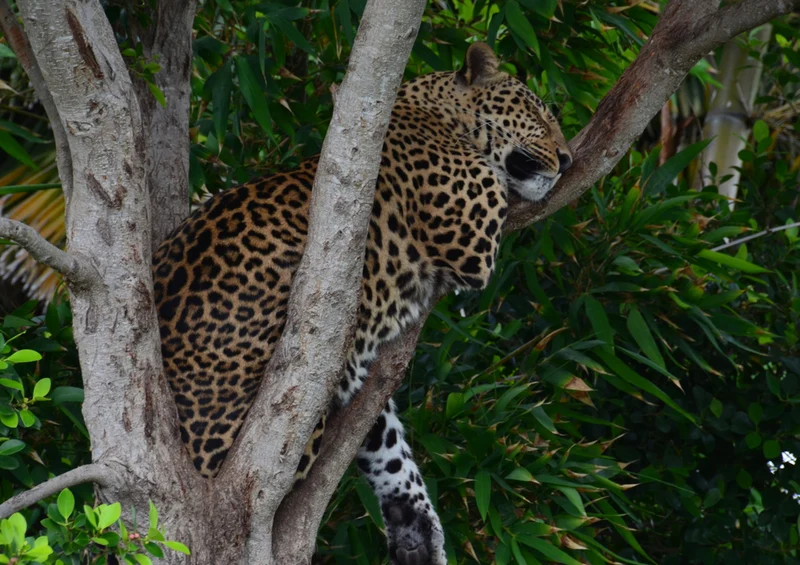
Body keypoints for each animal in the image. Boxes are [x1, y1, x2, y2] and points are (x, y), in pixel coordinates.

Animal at [153, 42, 572, 565]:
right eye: (538, 113)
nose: (568, 159)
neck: (430, 109)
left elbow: (388, 444)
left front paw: (417, 529)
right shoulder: (471, 231)